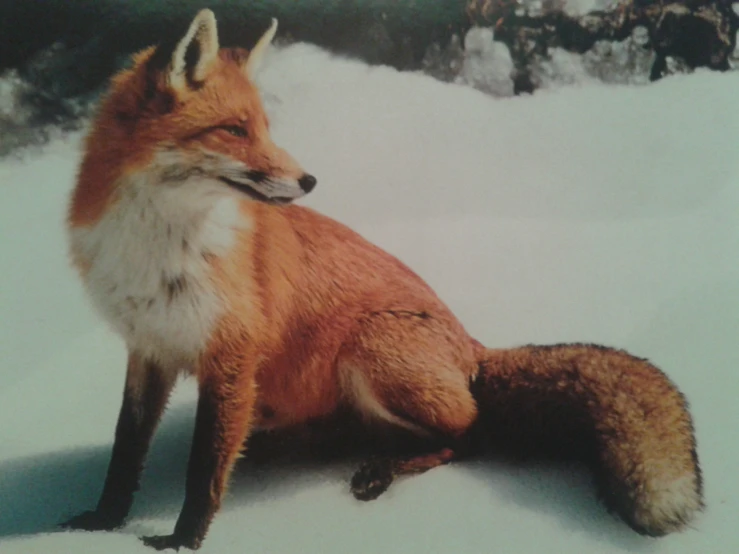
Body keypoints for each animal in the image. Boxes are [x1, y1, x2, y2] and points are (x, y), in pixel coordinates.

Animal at [60, 7, 704, 548]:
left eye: (265, 127)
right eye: (235, 130)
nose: (310, 180)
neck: (158, 248)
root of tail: (471, 348)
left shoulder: (231, 355)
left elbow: (204, 470)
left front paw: (182, 542)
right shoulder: (149, 348)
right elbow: (125, 451)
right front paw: (101, 522)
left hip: (368, 349)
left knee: (467, 433)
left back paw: (382, 471)